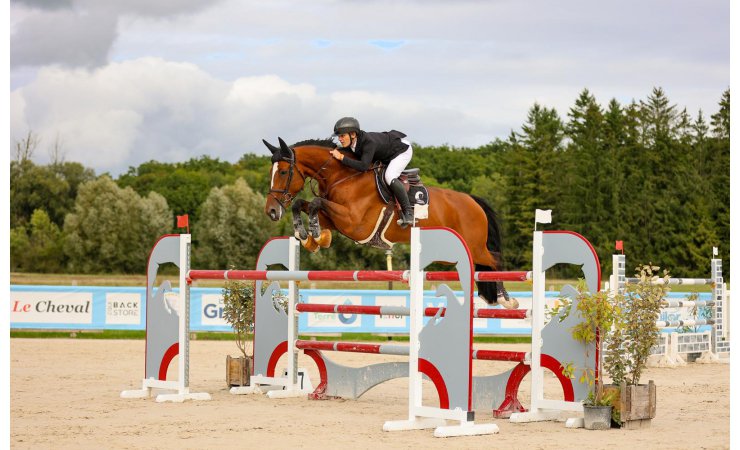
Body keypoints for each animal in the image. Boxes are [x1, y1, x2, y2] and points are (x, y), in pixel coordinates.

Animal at [262, 137, 516, 309]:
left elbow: (315, 203)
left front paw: (315, 234)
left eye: (283, 172)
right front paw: (306, 236)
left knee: (495, 260)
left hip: (475, 246)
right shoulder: (336, 219)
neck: (343, 176)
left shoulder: (354, 223)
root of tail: (472, 201)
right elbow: (302, 204)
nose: (271, 211)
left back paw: (506, 299)